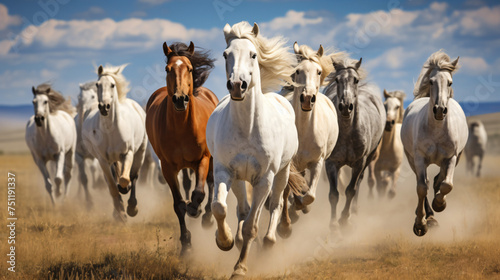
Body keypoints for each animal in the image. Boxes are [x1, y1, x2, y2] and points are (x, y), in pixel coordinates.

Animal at [82, 64, 147, 222]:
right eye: (97, 84)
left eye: (112, 85)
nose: (104, 107)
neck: (110, 129)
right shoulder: (103, 160)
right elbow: (112, 186)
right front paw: (120, 214)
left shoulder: (128, 154)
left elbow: (124, 179)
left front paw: (125, 193)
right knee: (110, 181)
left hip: (140, 152)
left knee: (134, 176)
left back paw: (132, 206)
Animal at [146, 41, 221, 254]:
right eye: (167, 69)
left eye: (189, 68)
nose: (180, 99)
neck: (181, 127)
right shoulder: (167, 167)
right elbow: (178, 204)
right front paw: (186, 245)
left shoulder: (203, 159)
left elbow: (200, 193)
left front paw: (195, 210)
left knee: (210, 182)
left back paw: (206, 217)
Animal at [205, 21, 306, 278]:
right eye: (226, 54)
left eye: (253, 54)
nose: (237, 86)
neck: (247, 128)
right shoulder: (224, 172)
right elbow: (219, 207)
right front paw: (224, 240)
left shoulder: (264, 180)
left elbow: (252, 225)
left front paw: (240, 268)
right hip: (240, 179)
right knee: (242, 209)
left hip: (281, 173)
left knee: (275, 205)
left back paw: (269, 241)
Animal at [322, 56, 384, 230]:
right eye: (337, 80)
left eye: (355, 80)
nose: (345, 106)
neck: (347, 132)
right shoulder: (331, 163)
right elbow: (334, 194)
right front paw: (333, 225)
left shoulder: (359, 163)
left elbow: (351, 190)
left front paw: (344, 219)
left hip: (369, 158)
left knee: (359, 183)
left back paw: (354, 211)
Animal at [400, 50, 466, 236]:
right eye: (431, 81)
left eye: (450, 82)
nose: (439, 110)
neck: (436, 129)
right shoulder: (419, 159)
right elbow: (422, 188)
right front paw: (420, 225)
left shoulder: (451, 158)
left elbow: (447, 184)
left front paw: (440, 204)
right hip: (412, 159)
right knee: (427, 183)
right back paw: (428, 216)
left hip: (454, 158)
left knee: (439, 180)